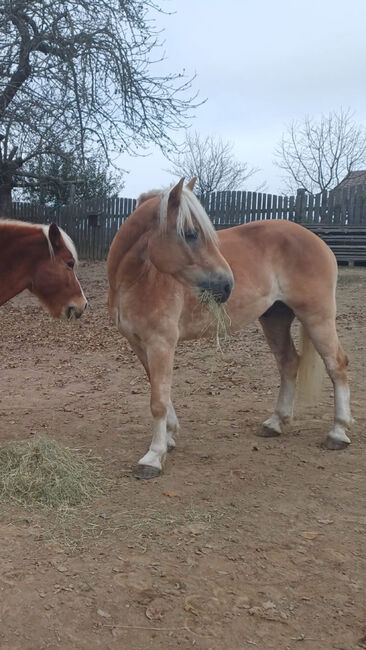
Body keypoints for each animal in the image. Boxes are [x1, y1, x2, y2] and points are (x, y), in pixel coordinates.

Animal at [107, 177, 350, 476]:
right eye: (190, 233)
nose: (226, 285)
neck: (137, 278)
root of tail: (318, 241)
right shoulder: (139, 344)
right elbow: (158, 389)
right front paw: (171, 437)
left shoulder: (161, 344)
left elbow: (158, 401)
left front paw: (153, 456)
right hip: (275, 318)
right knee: (289, 362)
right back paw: (275, 423)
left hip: (318, 317)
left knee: (337, 365)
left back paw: (338, 433)